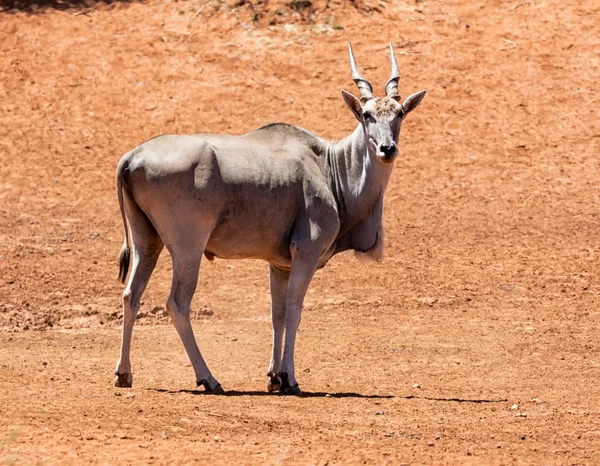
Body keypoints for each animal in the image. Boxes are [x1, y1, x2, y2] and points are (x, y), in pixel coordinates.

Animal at [115, 42, 426, 394]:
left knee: (131, 295)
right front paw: (289, 377)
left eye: (399, 113)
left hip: (146, 243)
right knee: (177, 303)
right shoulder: (305, 253)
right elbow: (293, 311)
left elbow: (276, 314)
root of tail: (132, 157)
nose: (387, 149)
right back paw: (208, 378)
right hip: (187, 249)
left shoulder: (279, 264)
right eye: (366, 115)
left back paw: (124, 374)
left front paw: (274, 376)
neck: (330, 167)